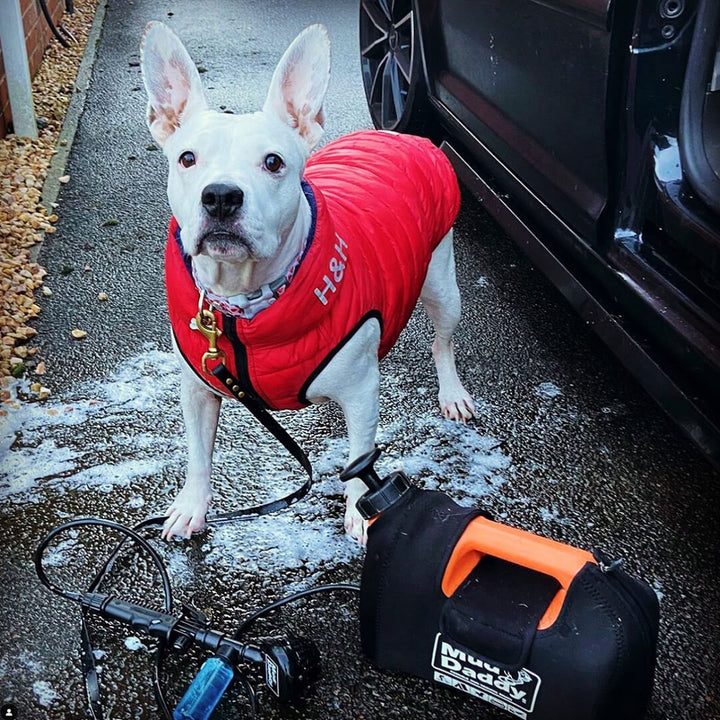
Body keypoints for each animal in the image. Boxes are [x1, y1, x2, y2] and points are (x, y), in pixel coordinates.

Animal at [143, 19, 476, 544]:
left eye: (273, 162)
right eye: (187, 159)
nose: (220, 196)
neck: (244, 301)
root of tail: (396, 135)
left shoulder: (362, 393)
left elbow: (361, 460)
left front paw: (361, 512)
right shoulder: (197, 390)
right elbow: (198, 454)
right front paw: (192, 505)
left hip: (443, 287)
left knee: (442, 341)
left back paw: (453, 393)